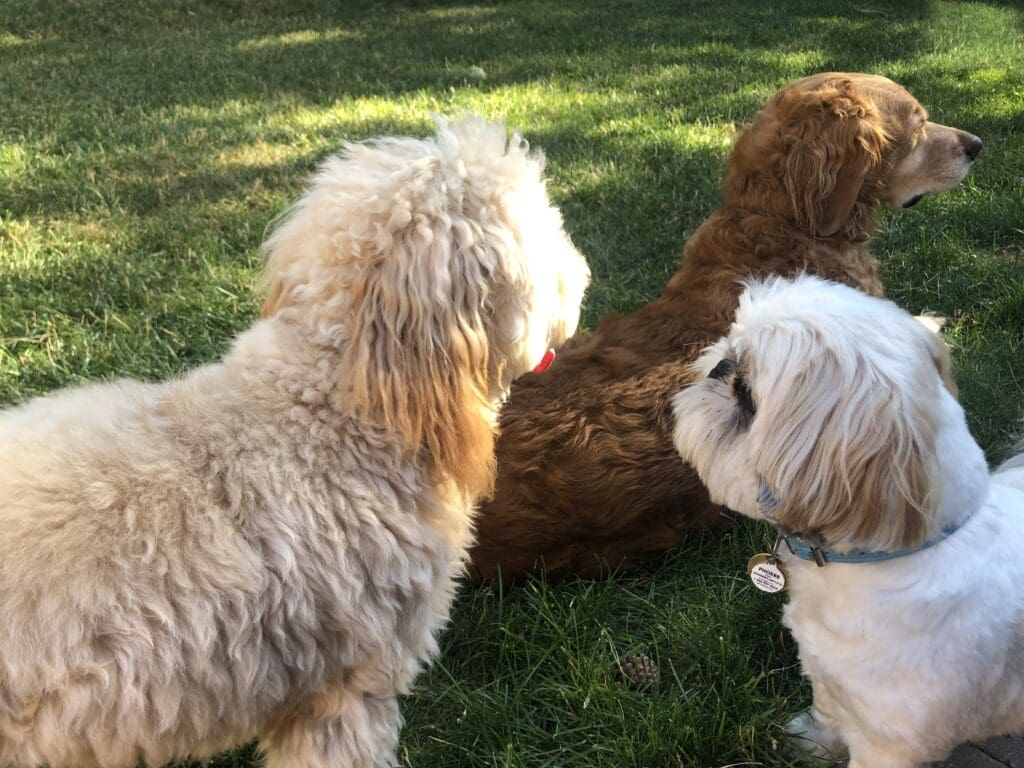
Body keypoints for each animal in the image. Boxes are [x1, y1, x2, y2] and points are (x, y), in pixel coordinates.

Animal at [671, 276, 1024, 768]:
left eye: (746, 393)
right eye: (730, 346)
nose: (719, 363)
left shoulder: (890, 745)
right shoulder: (824, 671)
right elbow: (827, 709)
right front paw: (815, 743)